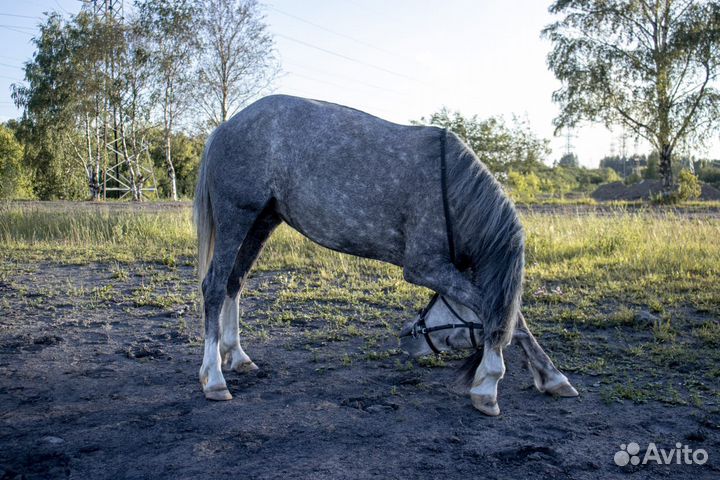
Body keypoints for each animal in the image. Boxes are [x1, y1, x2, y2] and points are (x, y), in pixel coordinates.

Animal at [194, 94, 575, 416]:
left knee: (234, 282)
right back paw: (214, 378)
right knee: (214, 286)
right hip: (236, 216)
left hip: (262, 220)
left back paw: (237, 356)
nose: (408, 335)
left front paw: (553, 377)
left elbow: (513, 317)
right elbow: (495, 312)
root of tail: (225, 127)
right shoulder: (426, 268)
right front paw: (488, 385)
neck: (452, 190)